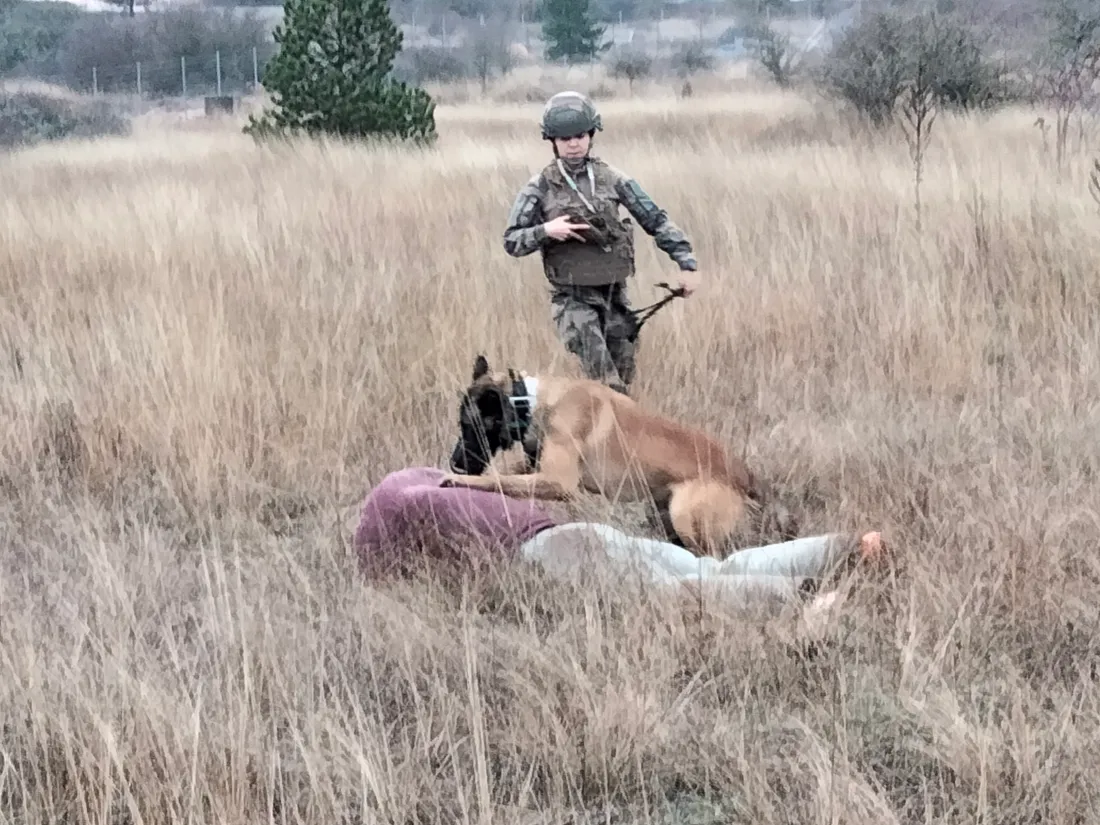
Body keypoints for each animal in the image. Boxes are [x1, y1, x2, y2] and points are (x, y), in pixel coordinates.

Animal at [440, 352, 765, 558]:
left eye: (469, 425)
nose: (455, 464)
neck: (529, 403)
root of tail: (748, 480)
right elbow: (509, 472)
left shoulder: (559, 482)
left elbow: (498, 479)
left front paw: (456, 481)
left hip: (683, 511)